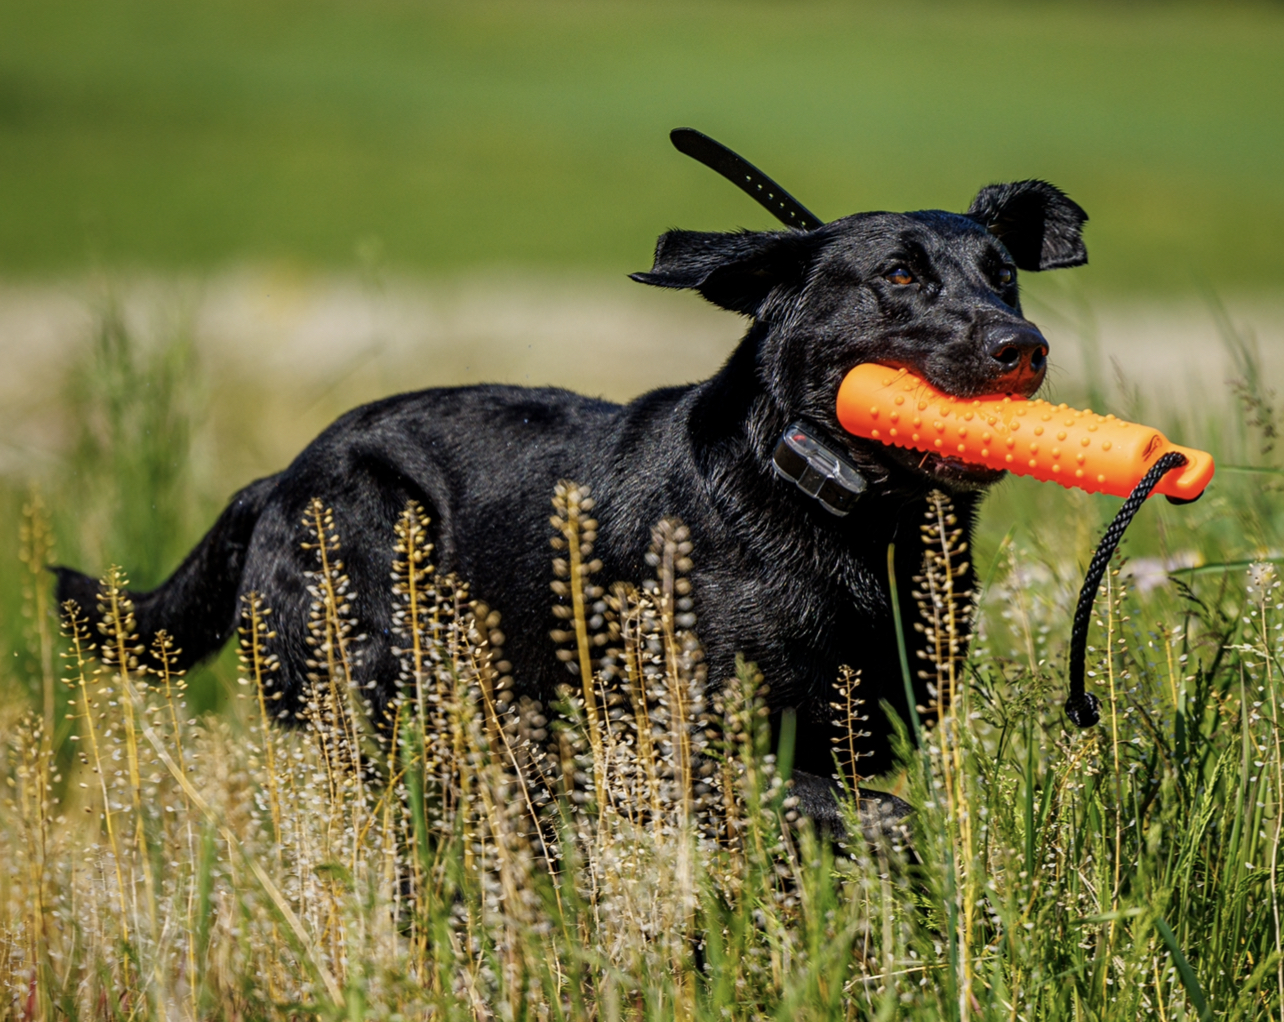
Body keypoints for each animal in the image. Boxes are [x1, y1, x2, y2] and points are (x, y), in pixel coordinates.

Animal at [57, 179, 1083, 826]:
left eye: (1004, 275)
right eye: (901, 276)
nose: (1023, 346)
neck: (839, 514)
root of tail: (274, 482)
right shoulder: (695, 746)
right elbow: (881, 821)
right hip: (381, 687)